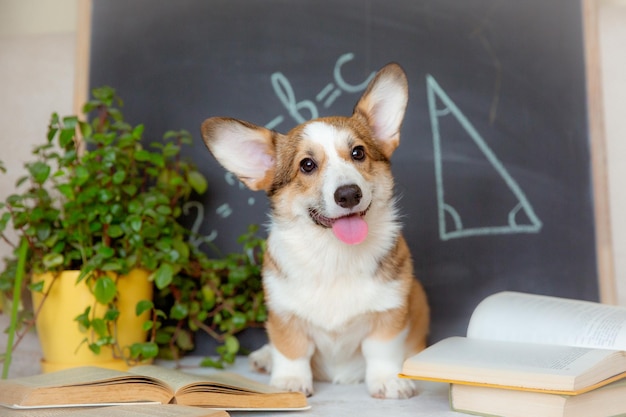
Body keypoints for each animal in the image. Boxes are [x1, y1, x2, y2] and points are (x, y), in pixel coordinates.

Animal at [202, 61, 426, 396]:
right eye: (307, 165)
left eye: (358, 153)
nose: (348, 194)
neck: (333, 253)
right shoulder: (283, 313)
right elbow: (291, 349)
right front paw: (290, 382)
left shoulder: (390, 311)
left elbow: (382, 351)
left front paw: (387, 380)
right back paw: (264, 357)